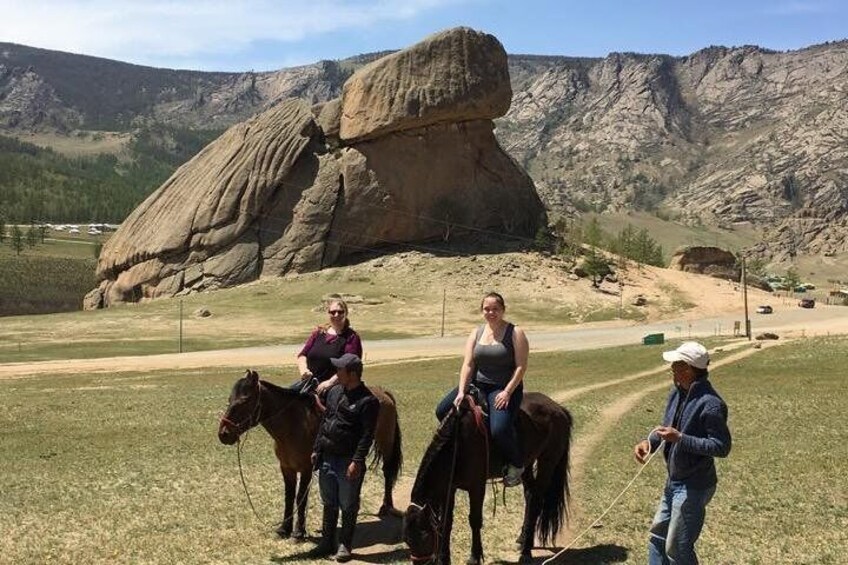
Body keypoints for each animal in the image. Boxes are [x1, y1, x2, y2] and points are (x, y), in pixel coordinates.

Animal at [219, 370, 404, 536]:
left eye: (245, 400)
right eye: (230, 399)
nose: (223, 434)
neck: (292, 424)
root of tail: (383, 392)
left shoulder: (307, 467)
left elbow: (301, 496)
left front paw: (298, 531)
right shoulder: (286, 468)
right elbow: (289, 496)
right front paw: (284, 528)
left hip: (385, 442)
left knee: (387, 472)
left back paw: (386, 507)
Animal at [402, 392, 568, 564]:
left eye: (425, 537)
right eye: (406, 540)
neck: (458, 444)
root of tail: (558, 408)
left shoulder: (476, 487)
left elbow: (474, 520)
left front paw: (475, 557)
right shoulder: (450, 487)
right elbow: (446, 523)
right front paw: (444, 558)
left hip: (547, 463)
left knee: (536, 501)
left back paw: (526, 551)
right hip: (527, 464)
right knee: (529, 495)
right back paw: (522, 538)